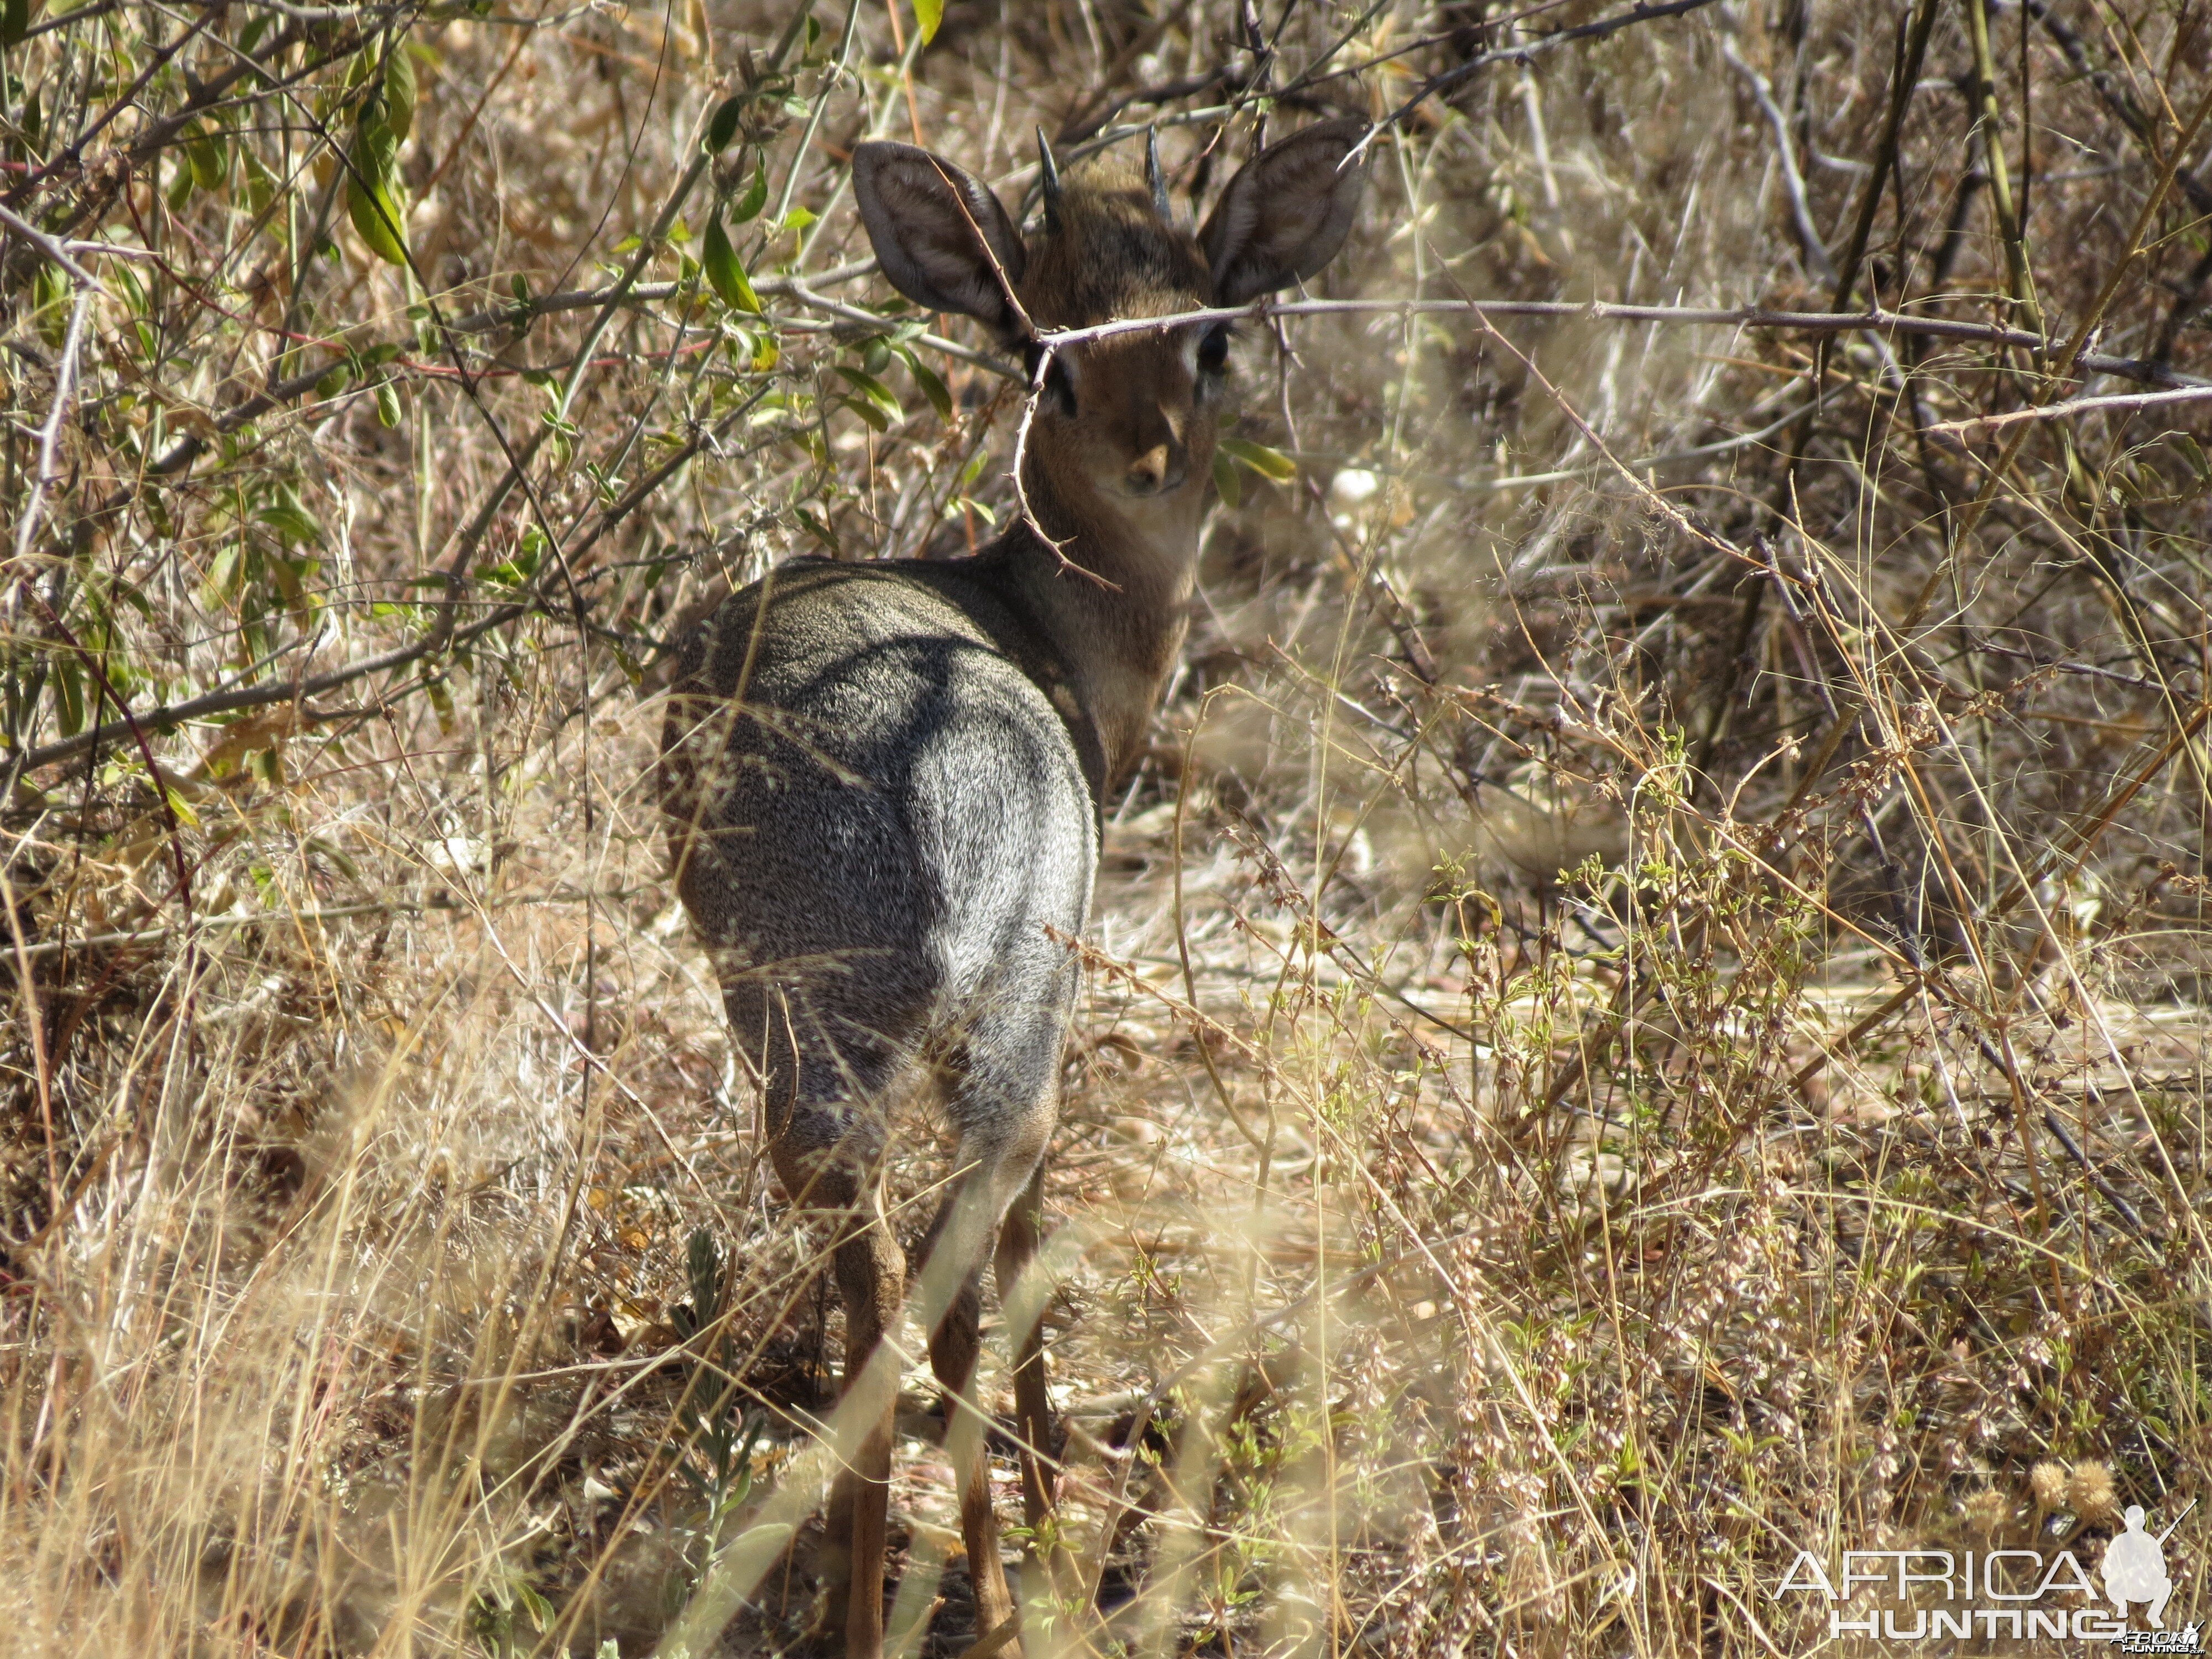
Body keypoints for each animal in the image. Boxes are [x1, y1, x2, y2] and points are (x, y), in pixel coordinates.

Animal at [655, 120, 1363, 1659]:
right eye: (1049, 353)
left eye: (1209, 333)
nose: (1150, 457)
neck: (1048, 624)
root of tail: (917, 801)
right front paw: (1049, 1506)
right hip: (1004, 1047)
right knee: (958, 1275)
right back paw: (995, 1590)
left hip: (805, 1066)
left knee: (871, 1288)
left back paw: (860, 1608)